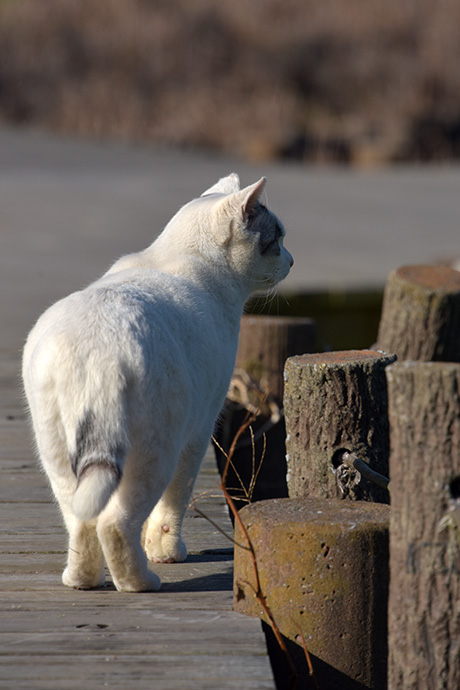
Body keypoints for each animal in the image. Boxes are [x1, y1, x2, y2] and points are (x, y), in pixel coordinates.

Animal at [21, 173, 292, 592]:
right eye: (277, 239)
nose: (291, 260)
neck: (180, 258)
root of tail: (99, 343)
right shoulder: (198, 432)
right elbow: (173, 504)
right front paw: (166, 552)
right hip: (155, 450)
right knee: (115, 523)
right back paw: (142, 581)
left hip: (56, 451)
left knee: (83, 520)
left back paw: (82, 579)